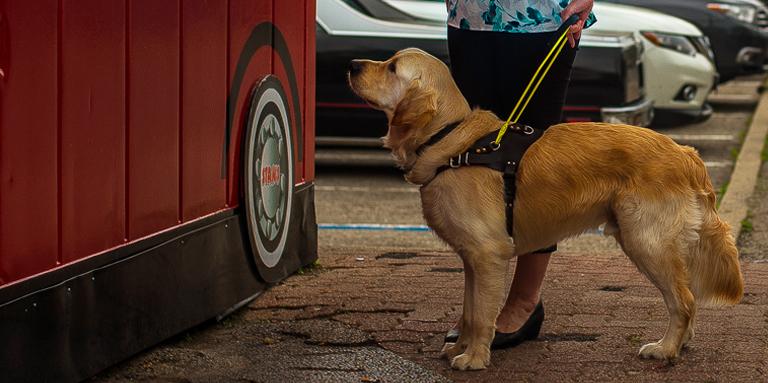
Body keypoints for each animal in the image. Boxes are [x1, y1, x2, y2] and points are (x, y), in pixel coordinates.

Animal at [348, 48, 744, 372]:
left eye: (392, 67)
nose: (351, 65)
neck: (452, 142)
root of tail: (685, 153)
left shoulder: (488, 254)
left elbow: (481, 315)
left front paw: (474, 358)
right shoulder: (471, 260)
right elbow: (469, 310)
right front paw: (460, 348)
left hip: (645, 241)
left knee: (684, 299)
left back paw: (666, 348)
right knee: (687, 296)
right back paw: (682, 342)